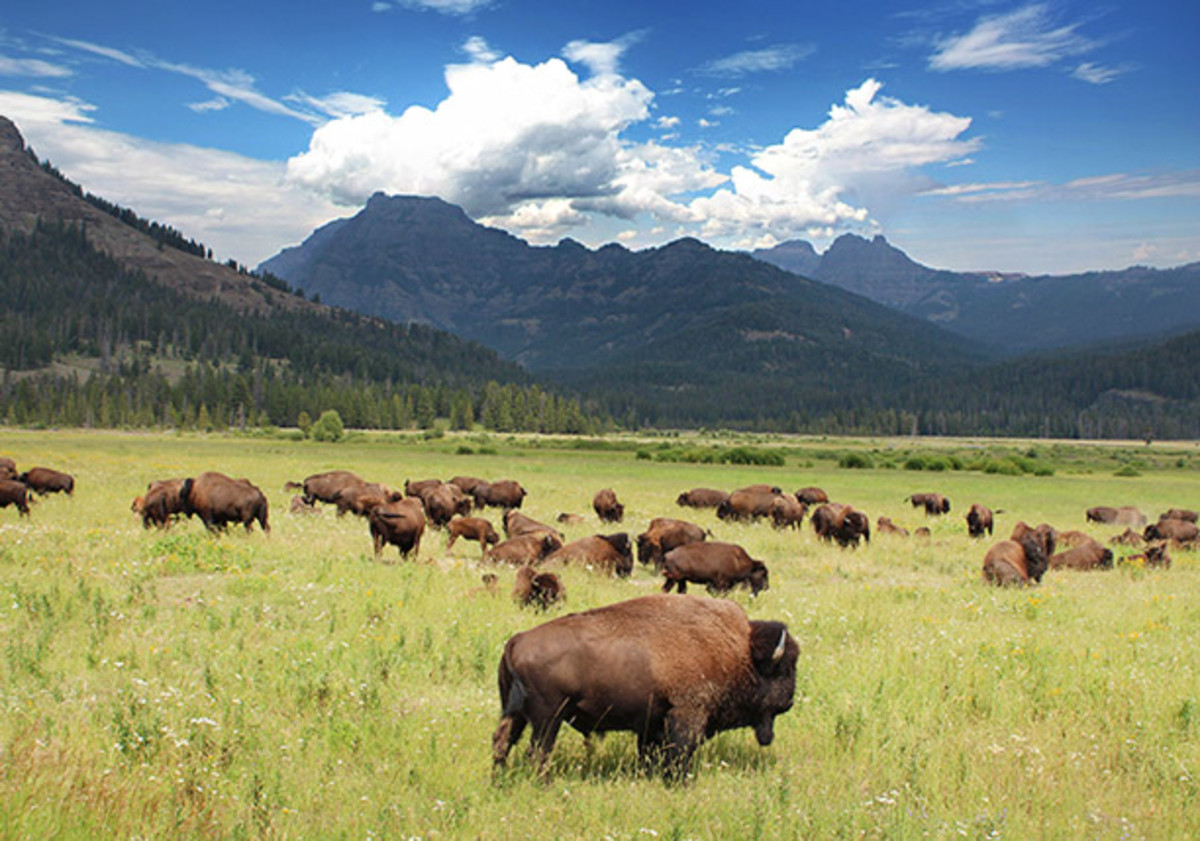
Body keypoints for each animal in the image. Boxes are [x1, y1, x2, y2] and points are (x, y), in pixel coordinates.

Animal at [492, 592, 801, 777]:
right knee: (537, 752)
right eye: (783, 669)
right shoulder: (688, 713)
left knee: (502, 741)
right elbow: (680, 752)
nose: (789, 702)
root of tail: (516, 641)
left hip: (516, 713)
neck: (738, 651)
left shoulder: (653, 722)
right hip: (547, 719)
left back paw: (499, 779)